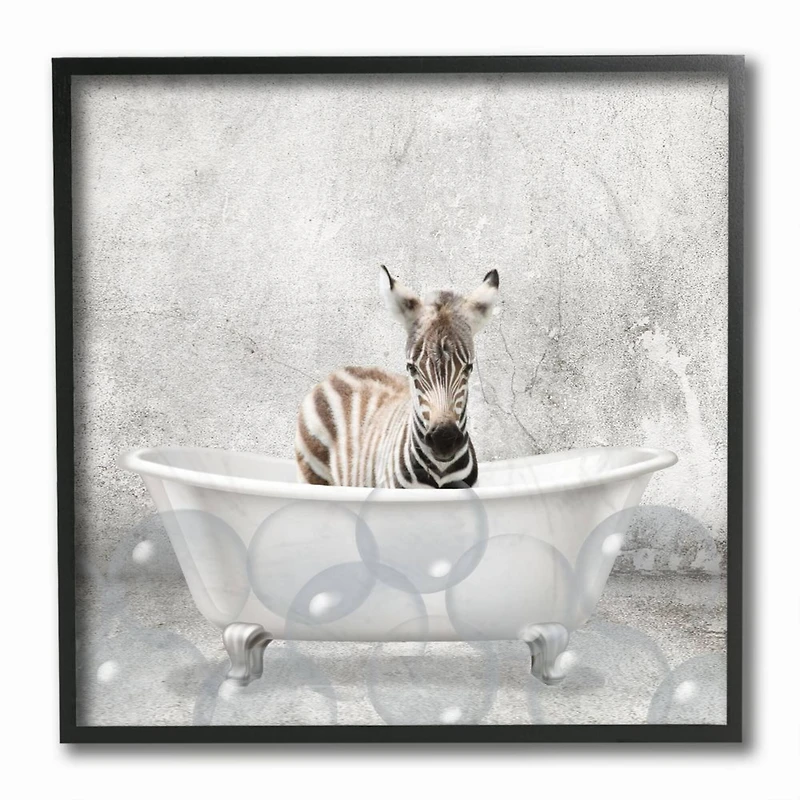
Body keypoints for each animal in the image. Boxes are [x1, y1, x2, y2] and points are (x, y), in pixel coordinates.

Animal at [295, 265, 500, 489]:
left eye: (468, 368)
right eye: (411, 368)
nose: (443, 440)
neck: (441, 470)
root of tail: (337, 372)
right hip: (313, 473)